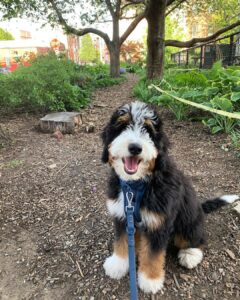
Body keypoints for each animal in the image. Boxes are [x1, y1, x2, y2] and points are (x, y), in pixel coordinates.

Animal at [101, 102, 238, 294]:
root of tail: (200, 209)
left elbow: (153, 254)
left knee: (199, 239)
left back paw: (190, 254)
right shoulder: (123, 216)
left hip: (187, 223)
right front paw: (118, 264)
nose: (135, 147)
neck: (137, 186)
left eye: (148, 130)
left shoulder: (159, 224)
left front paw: (149, 280)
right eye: (122, 126)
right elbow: (121, 242)